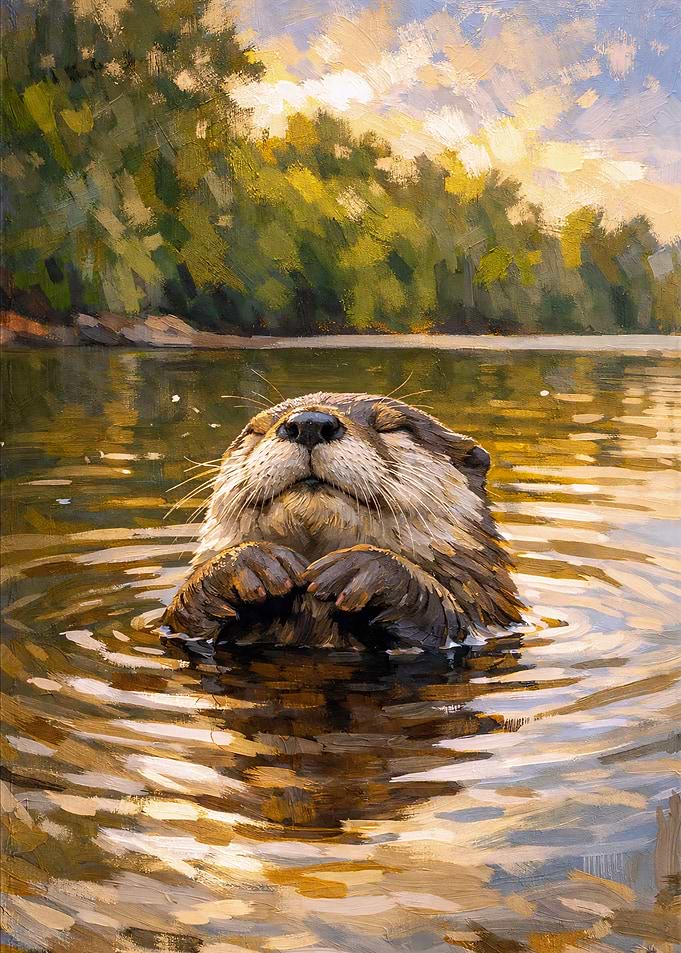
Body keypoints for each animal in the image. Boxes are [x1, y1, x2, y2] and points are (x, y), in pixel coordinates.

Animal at [162, 392, 522, 651]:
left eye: (393, 427)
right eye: (256, 429)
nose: (308, 422)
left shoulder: (488, 612)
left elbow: (450, 623)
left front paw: (369, 572)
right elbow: (175, 622)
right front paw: (247, 564)